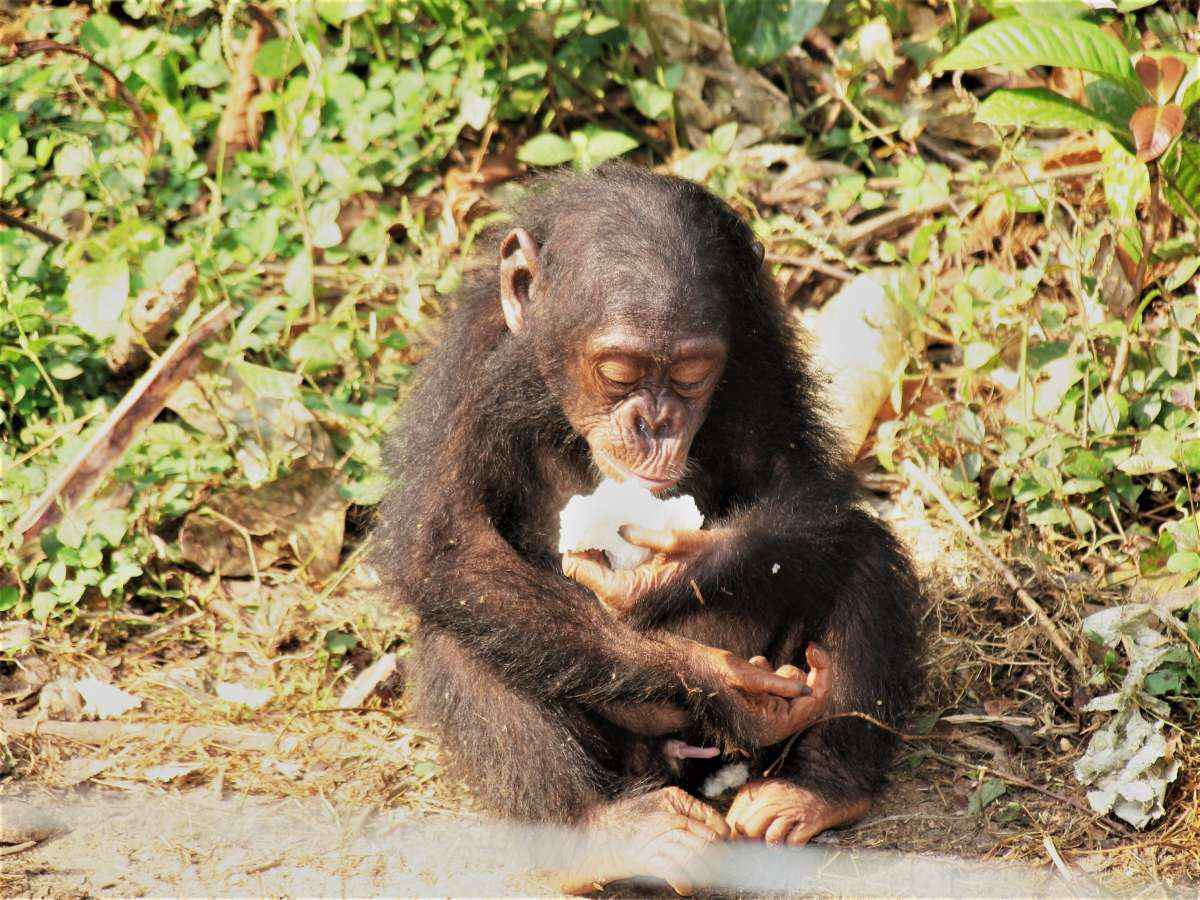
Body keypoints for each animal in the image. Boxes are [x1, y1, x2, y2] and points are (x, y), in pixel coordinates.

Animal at [374, 162, 916, 897]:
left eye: (691, 373)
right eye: (618, 372)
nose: (653, 422)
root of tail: (689, 758)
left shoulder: (757, 351)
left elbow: (800, 484)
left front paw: (681, 570)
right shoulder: (475, 363)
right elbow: (450, 541)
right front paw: (718, 681)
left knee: (861, 554)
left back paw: (815, 789)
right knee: (462, 637)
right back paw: (603, 832)